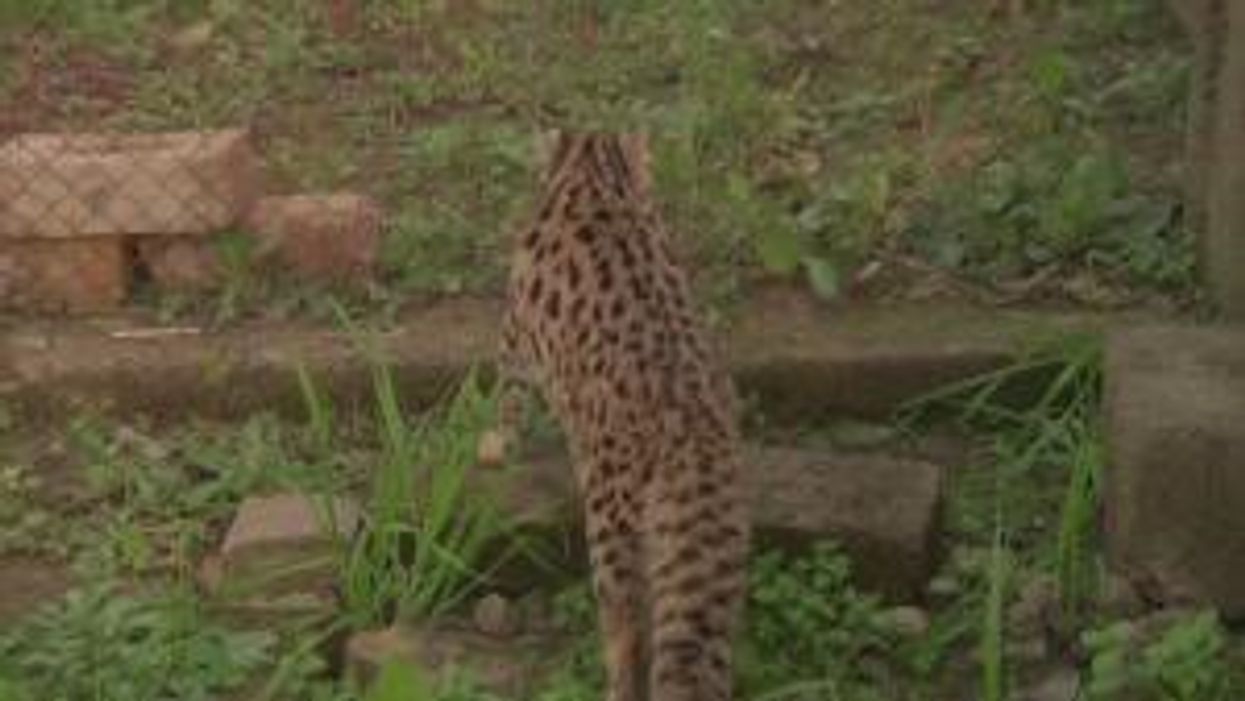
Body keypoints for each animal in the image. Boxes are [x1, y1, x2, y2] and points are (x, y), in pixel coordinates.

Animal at [480, 131, 751, 701]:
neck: (596, 179)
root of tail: (693, 421)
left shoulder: (514, 342)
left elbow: (508, 402)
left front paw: (495, 445)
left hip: (611, 526)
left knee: (628, 631)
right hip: (712, 545)